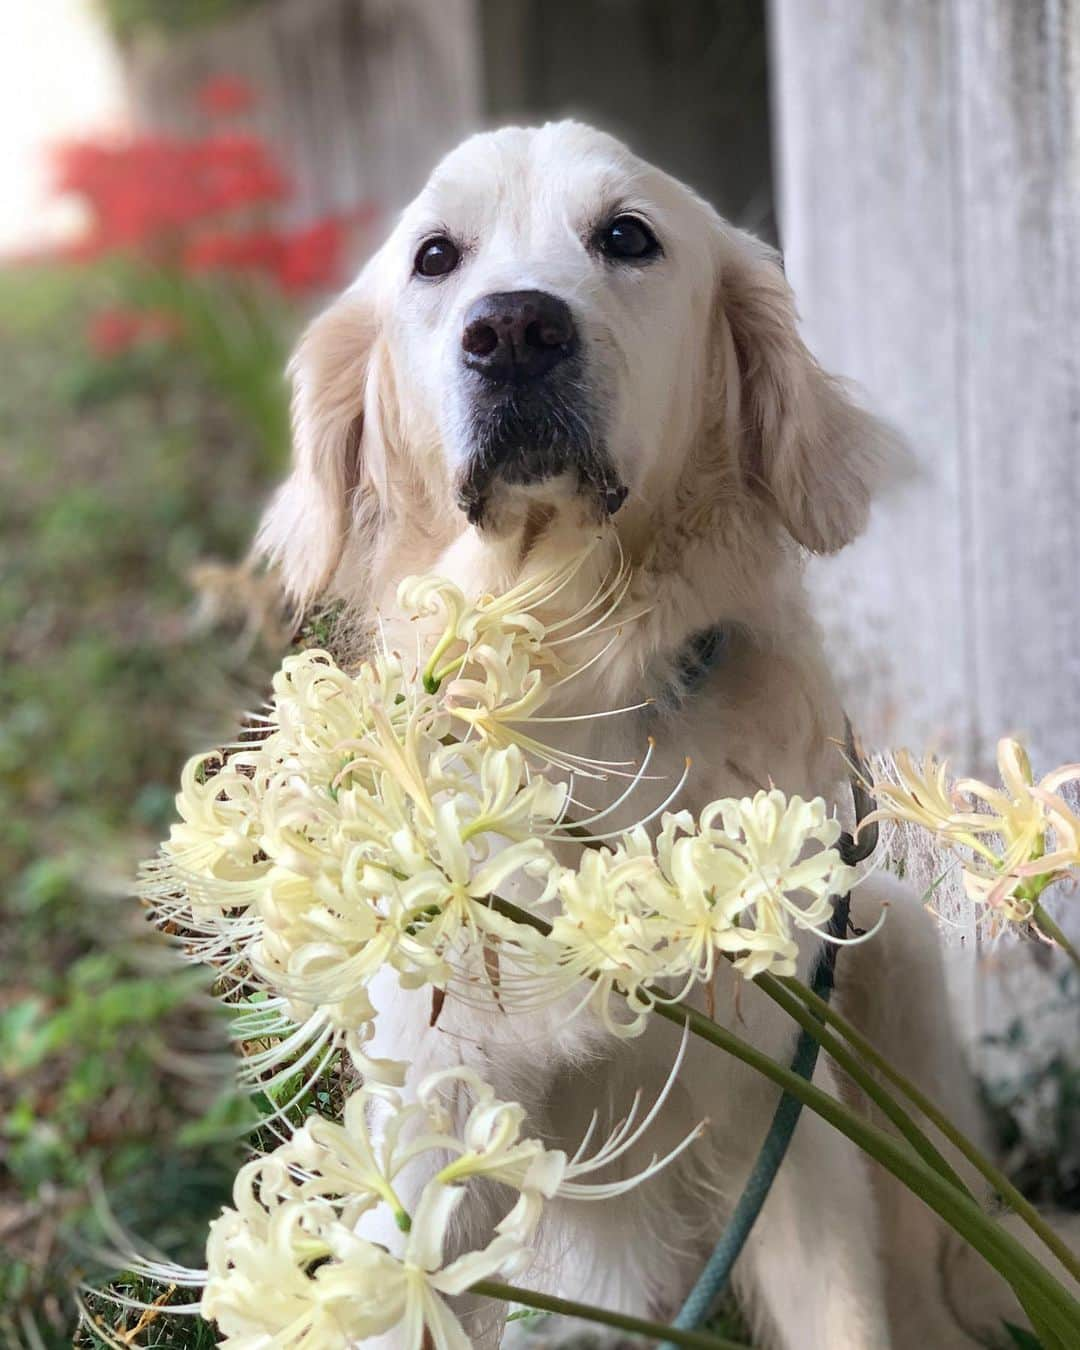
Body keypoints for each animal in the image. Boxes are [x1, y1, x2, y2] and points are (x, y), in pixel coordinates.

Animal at [255, 121, 1063, 1344]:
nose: (515, 329)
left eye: (628, 237)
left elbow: (844, 1307)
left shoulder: (788, 1109)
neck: (574, 692)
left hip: (895, 952)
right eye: (436, 257)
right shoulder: (432, 1112)